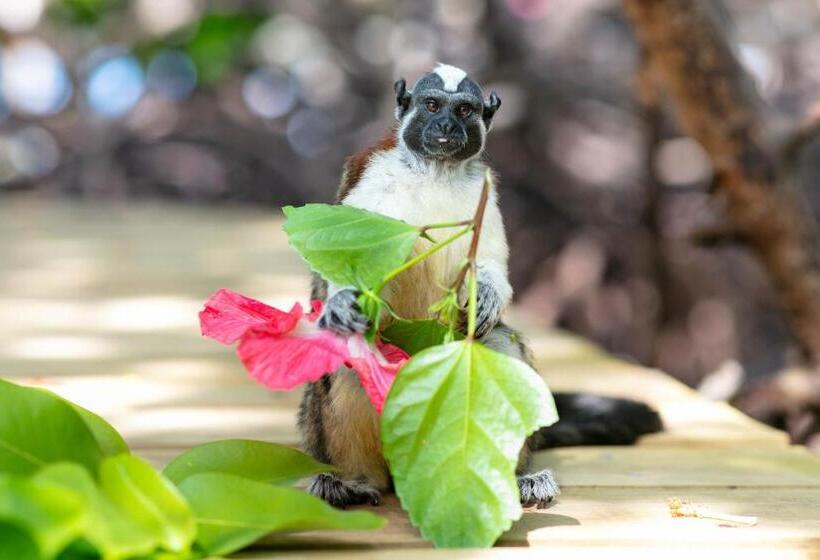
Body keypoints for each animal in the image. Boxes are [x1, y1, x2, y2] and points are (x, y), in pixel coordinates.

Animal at [298, 64, 662, 509]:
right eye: (432, 105)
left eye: (464, 110)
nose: (445, 127)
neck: (434, 173)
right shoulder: (371, 179)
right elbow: (340, 262)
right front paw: (340, 302)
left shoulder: (485, 192)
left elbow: (492, 267)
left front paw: (486, 295)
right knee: (352, 353)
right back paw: (353, 480)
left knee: (500, 345)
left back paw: (514, 478)